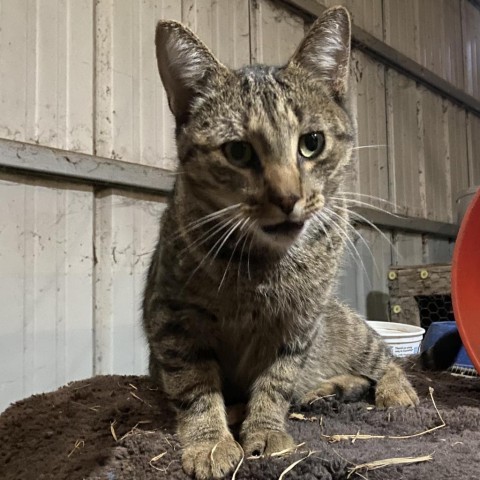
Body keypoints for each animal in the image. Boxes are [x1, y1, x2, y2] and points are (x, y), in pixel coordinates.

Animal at [143, 6, 420, 476]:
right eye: (237, 152)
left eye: (312, 143)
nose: (288, 197)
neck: (262, 263)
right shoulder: (173, 317)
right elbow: (194, 384)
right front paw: (211, 441)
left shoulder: (299, 323)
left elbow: (276, 381)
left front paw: (267, 431)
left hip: (346, 329)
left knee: (387, 360)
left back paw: (393, 391)